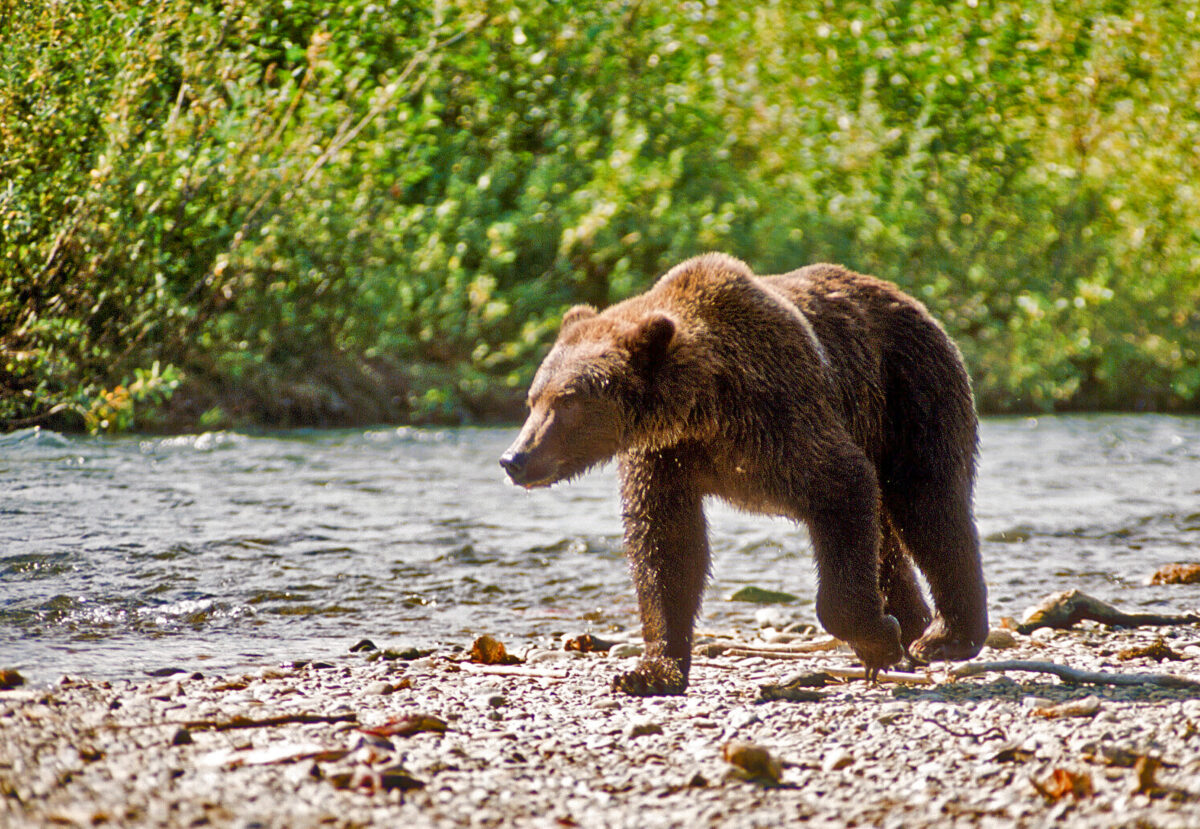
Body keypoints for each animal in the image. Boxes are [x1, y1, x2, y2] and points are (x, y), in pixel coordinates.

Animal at [496, 253, 984, 695]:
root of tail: (905, 296)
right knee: (886, 531)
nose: (514, 458)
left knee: (929, 503)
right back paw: (912, 625)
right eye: (533, 398)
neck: (704, 408)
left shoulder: (780, 420)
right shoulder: (665, 457)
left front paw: (877, 640)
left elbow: (840, 484)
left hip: (909, 389)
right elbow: (667, 549)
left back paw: (946, 637)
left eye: (567, 401)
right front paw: (651, 671)